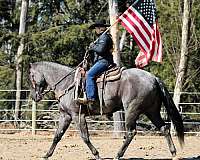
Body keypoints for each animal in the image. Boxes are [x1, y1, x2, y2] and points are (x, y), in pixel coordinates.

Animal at [28, 61, 184, 160]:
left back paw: (118, 155)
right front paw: (46, 155)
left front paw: (97, 155)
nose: (34, 96)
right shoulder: (65, 115)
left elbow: (85, 136)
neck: (68, 83)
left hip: (131, 110)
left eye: (31, 76)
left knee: (131, 132)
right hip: (151, 111)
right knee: (164, 129)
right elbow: (57, 136)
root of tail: (154, 78)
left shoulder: (77, 115)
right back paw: (173, 153)